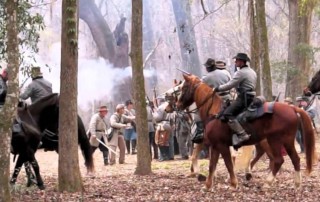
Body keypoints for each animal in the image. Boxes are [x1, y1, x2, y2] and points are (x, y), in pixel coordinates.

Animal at [176, 74, 316, 191]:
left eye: (184, 88)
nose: (178, 105)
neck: (214, 113)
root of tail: (292, 108)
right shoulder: (215, 146)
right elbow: (212, 166)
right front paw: (207, 186)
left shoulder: (222, 146)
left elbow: (228, 164)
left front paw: (233, 184)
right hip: (287, 141)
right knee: (295, 159)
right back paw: (297, 184)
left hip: (275, 140)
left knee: (278, 160)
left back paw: (267, 182)